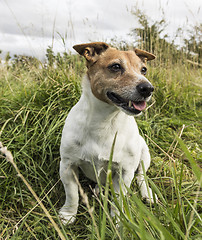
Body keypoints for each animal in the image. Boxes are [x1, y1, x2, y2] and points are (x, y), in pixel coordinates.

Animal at [59, 42, 157, 224]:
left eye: (144, 70)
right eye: (116, 66)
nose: (148, 88)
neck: (105, 121)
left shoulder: (125, 172)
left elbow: (119, 199)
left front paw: (119, 220)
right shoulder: (67, 166)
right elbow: (72, 194)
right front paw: (68, 214)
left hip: (144, 154)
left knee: (141, 176)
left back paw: (147, 193)